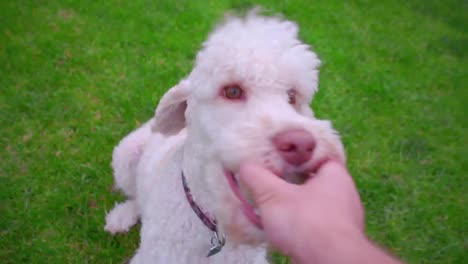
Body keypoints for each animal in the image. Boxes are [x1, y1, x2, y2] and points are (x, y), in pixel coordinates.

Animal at [107, 11, 348, 262]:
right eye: (232, 91)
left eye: (292, 96)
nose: (301, 145)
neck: (217, 229)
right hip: (125, 155)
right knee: (135, 195)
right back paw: (121, 216)